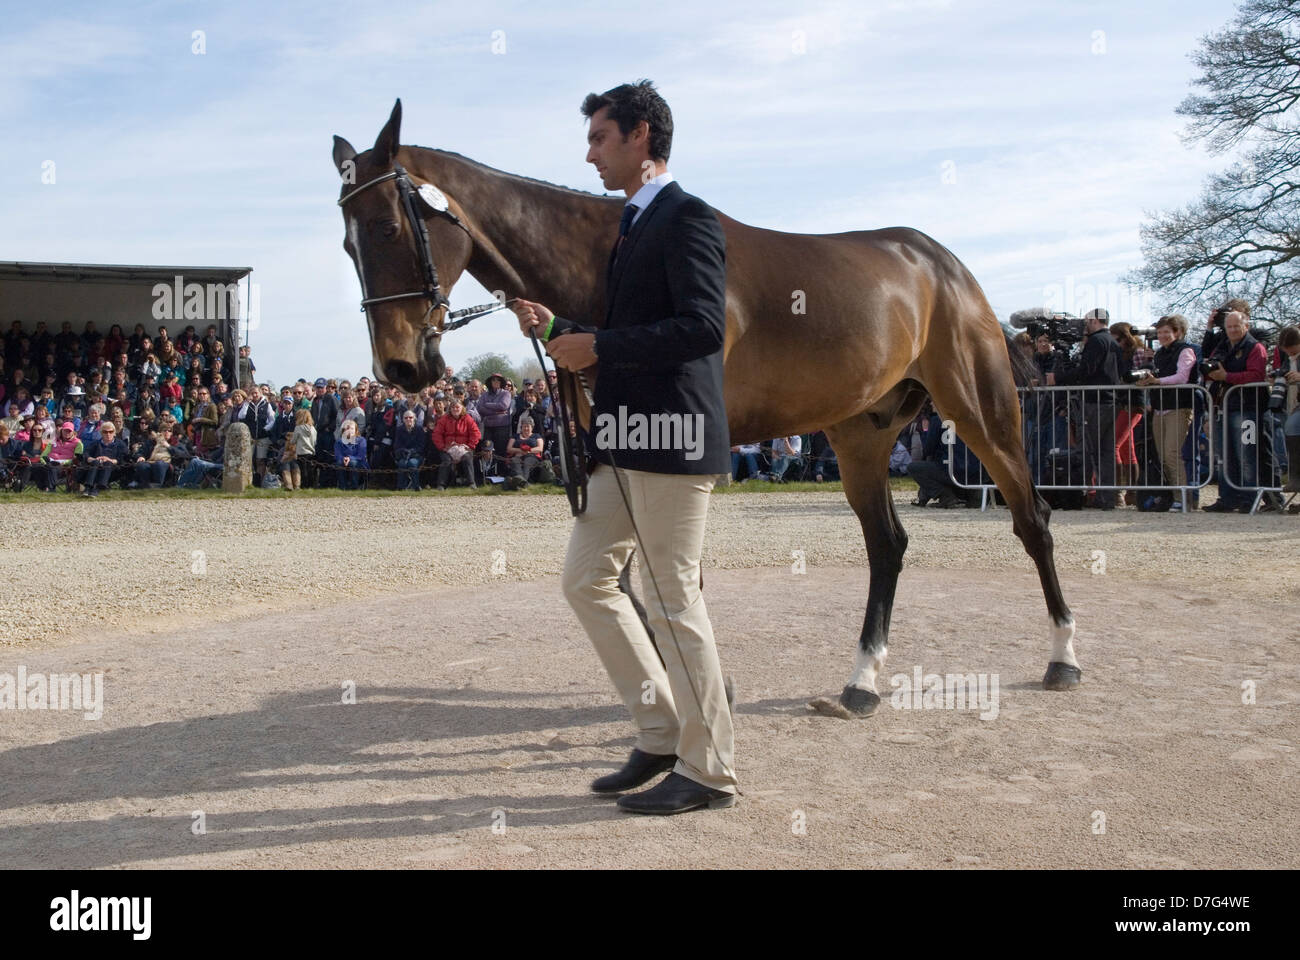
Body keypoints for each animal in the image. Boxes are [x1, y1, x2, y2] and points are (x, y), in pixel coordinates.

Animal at [330, 100, 1081, 712]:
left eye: (387, 228)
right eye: (347, 242)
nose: (401, 367)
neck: (606, 267)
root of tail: (941, 264)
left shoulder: (681, 446)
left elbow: (672, 572)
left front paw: (704, 687)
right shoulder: (613, 448)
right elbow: (632, 575)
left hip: (982, 412)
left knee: (1032, 520)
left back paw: (1063, 657)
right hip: (859, 434)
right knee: (888, 545)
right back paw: (862, 682)